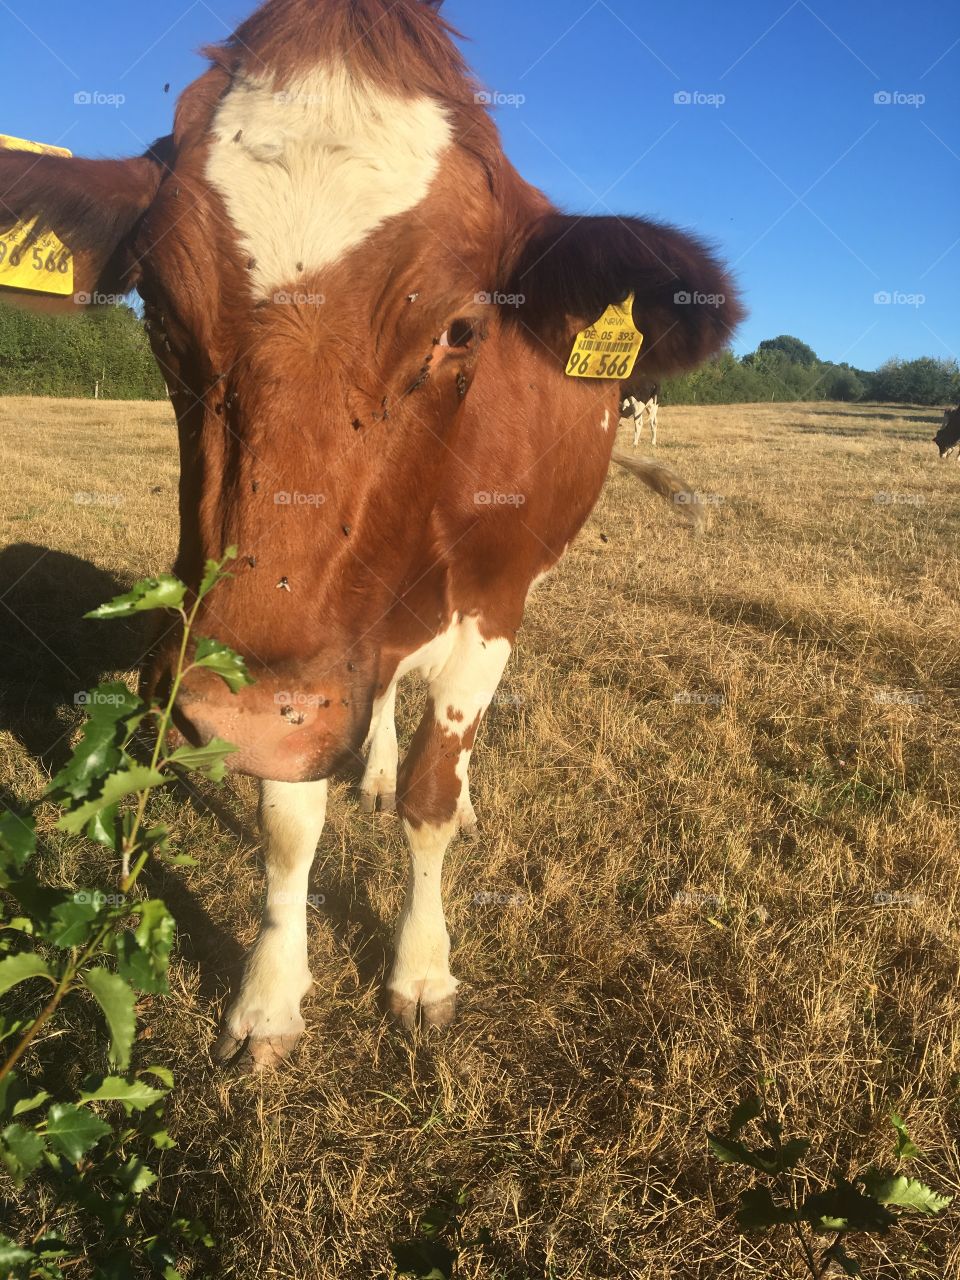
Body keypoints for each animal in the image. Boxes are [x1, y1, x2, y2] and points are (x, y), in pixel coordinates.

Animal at [1, 0, 742, 1070]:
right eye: (160, 313)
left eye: (462, 329)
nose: (241, 720)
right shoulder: (289, 667)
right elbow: (286, 819)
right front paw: (269, 995)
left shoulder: (491, 603)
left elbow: (434, 800)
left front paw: (422, 968)